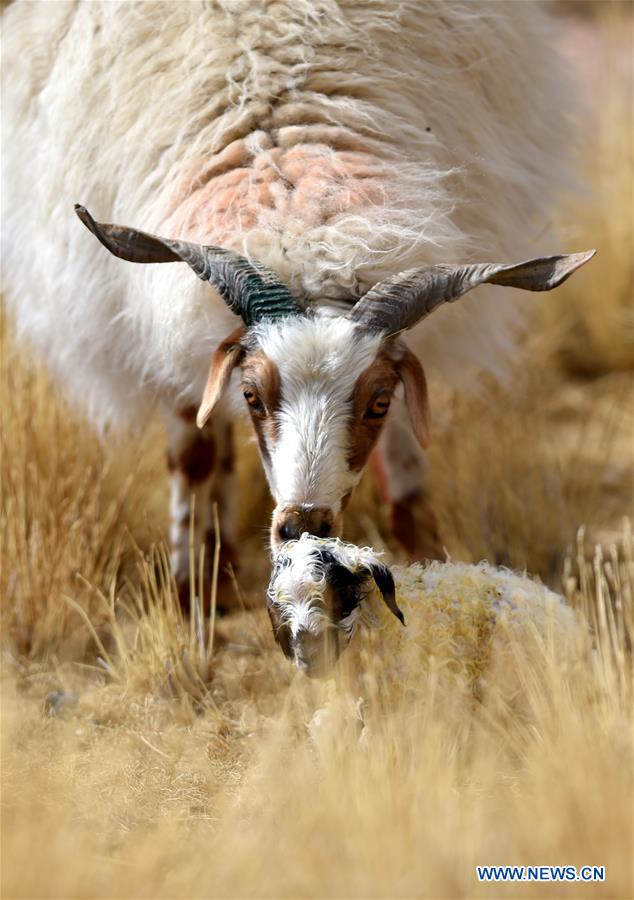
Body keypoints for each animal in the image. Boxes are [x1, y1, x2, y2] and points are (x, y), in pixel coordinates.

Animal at [2, 3, 592, 604]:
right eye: (252, 396)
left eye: (380, 402)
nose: (303, 524)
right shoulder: (158, 321)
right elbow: (193, 452)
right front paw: (191, 589)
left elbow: (405, 457)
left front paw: (425, 552)